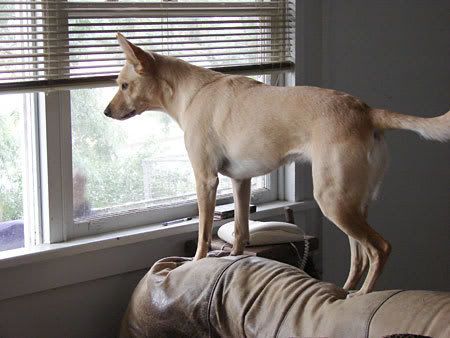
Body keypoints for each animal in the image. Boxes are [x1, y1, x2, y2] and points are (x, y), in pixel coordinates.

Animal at [105, 33, 450, 294]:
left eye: (123, 85)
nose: (106, 112)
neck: (192, 91)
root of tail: (366, 111)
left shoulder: (206, 178)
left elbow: (203, 231)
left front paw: (198, 262)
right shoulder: (240, 180)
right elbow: (241, 227)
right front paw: (233, 256)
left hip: (333, 201)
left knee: (380, 248)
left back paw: (364, 294)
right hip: (352, 204)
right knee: (359, 256)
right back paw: (345, 292)